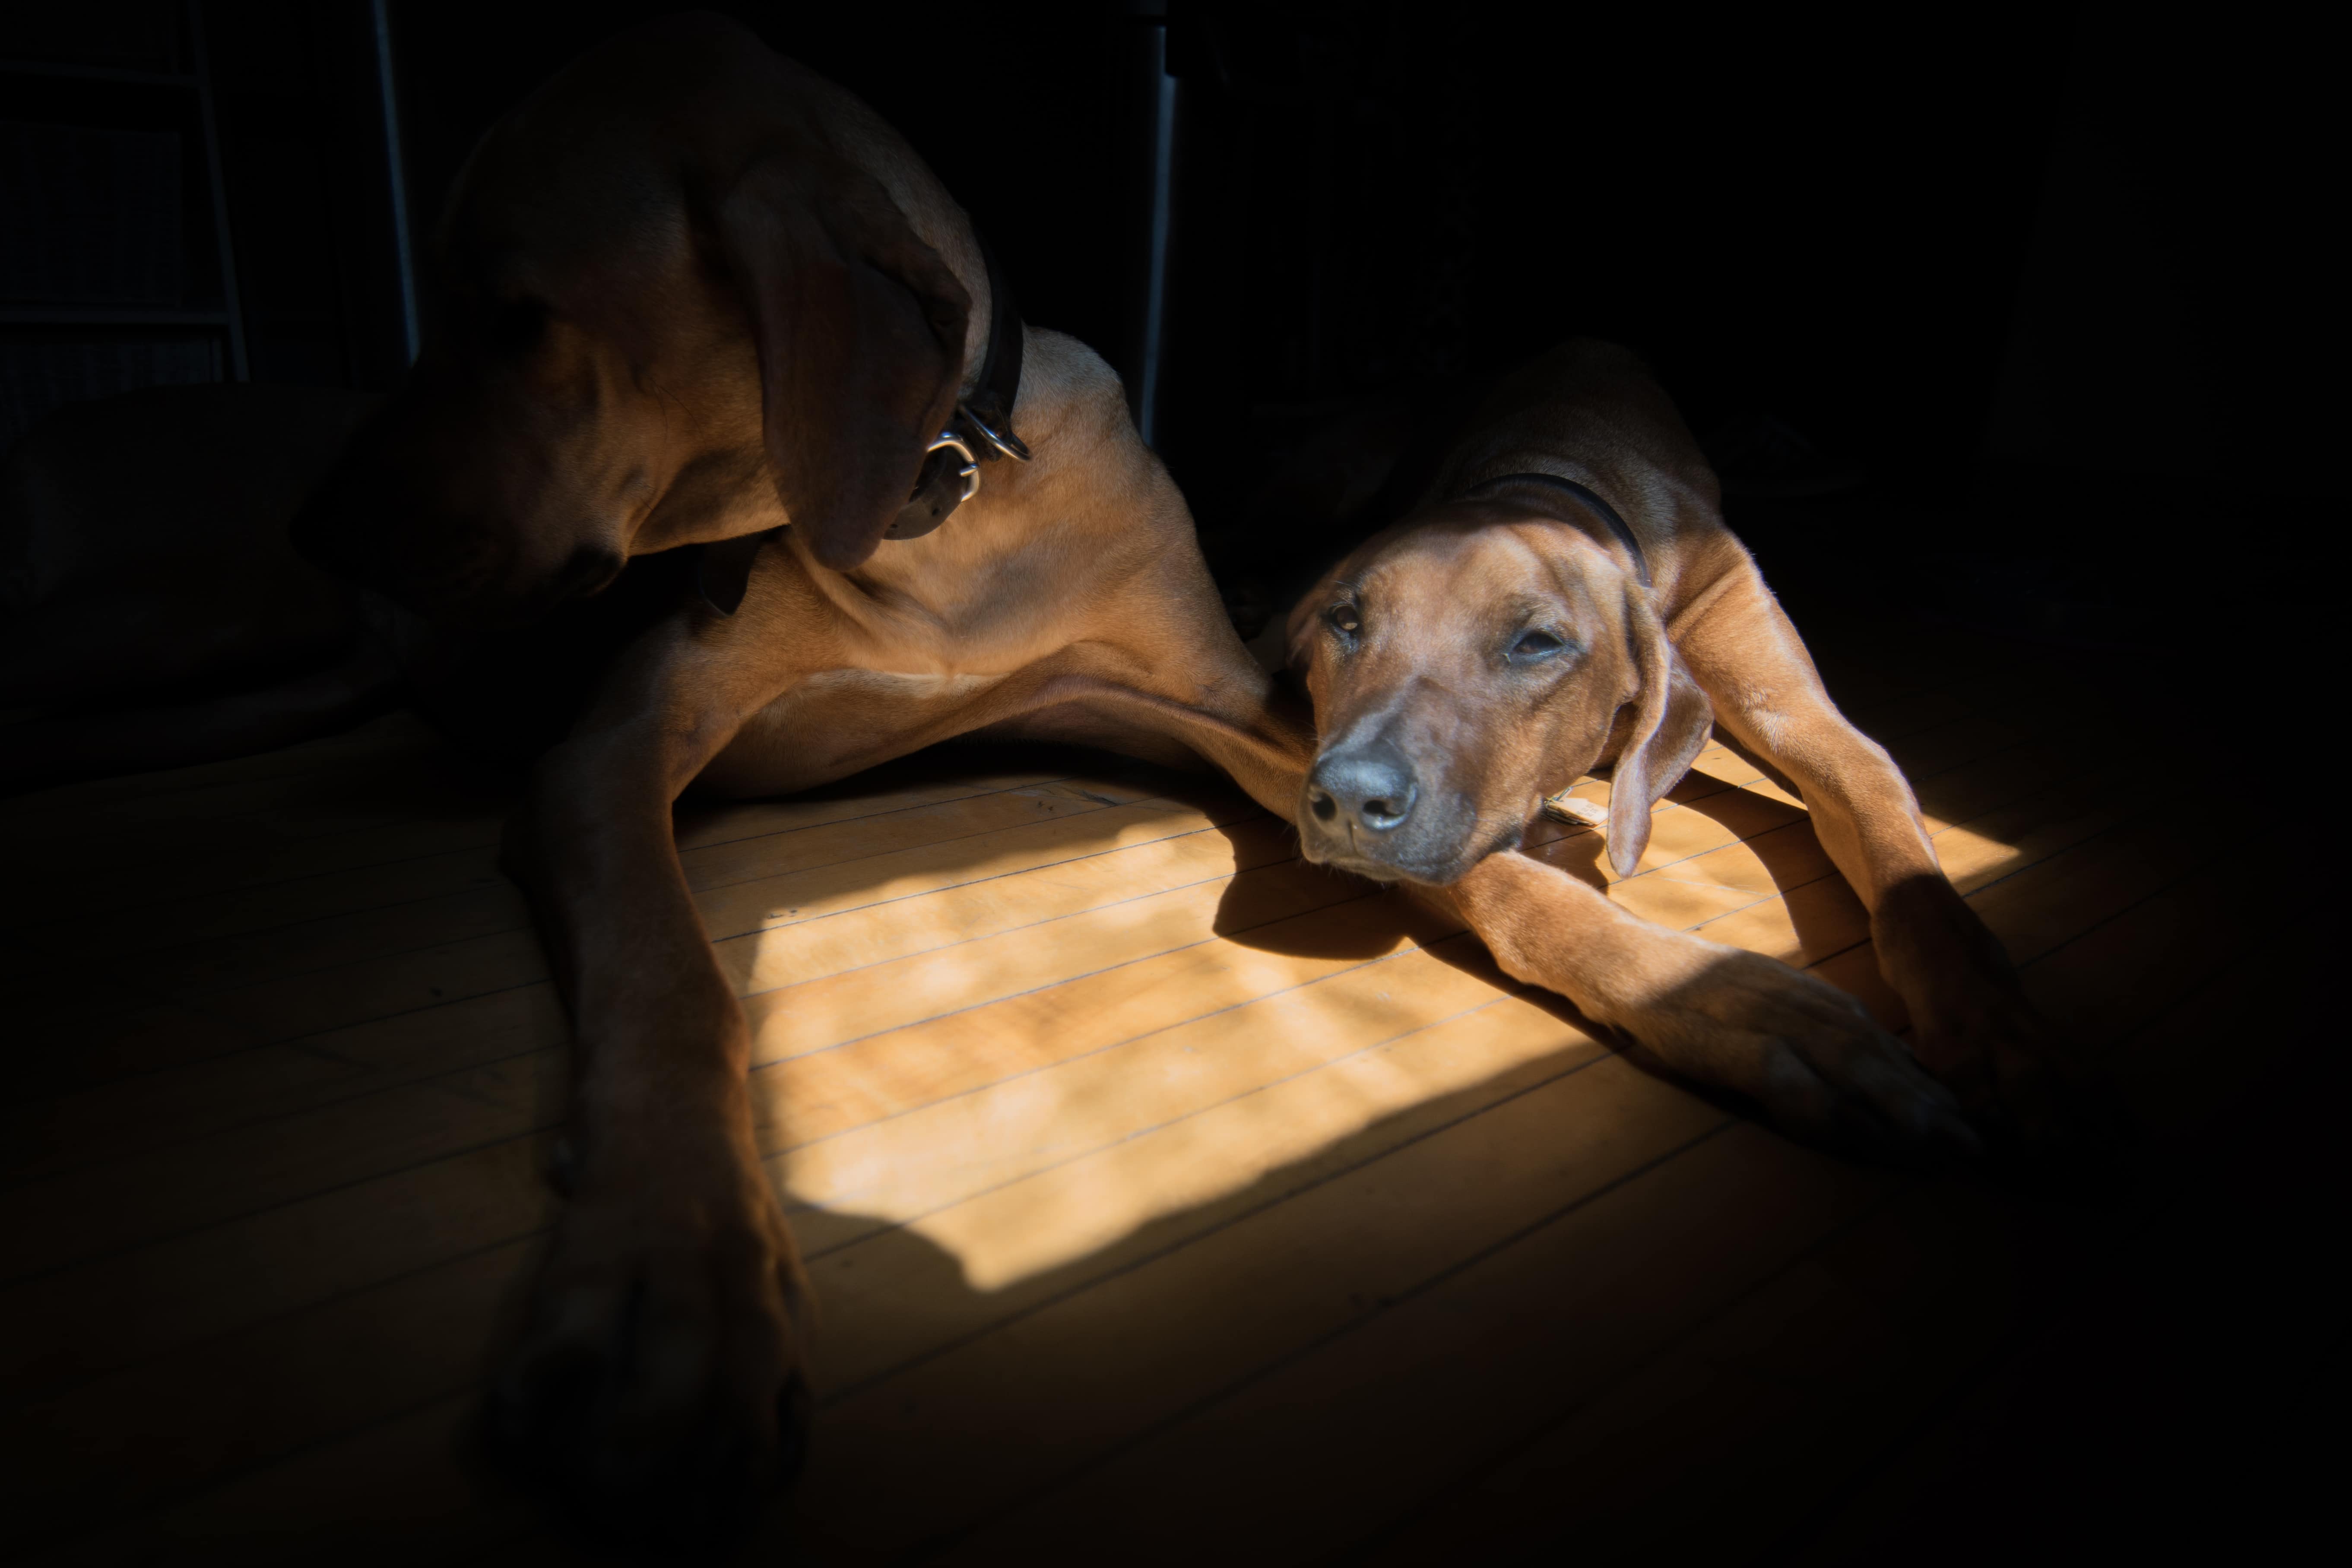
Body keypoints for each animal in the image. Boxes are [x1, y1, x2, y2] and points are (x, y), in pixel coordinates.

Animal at [1279, 341, 2051, 1152]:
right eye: (1346, 620)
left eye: (1536, 642)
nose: (1350, 797)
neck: (1555, 463)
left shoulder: (1777, 682)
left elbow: (1884, 814)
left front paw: (1989, 1023)